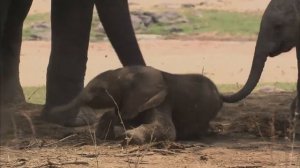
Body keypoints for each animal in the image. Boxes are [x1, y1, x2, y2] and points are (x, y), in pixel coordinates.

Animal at [47, 66, 223, 144]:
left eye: (101, 90)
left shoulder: (162, 100)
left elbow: (167, 129)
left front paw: (128, 136)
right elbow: (118, 115)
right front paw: (106, 135)